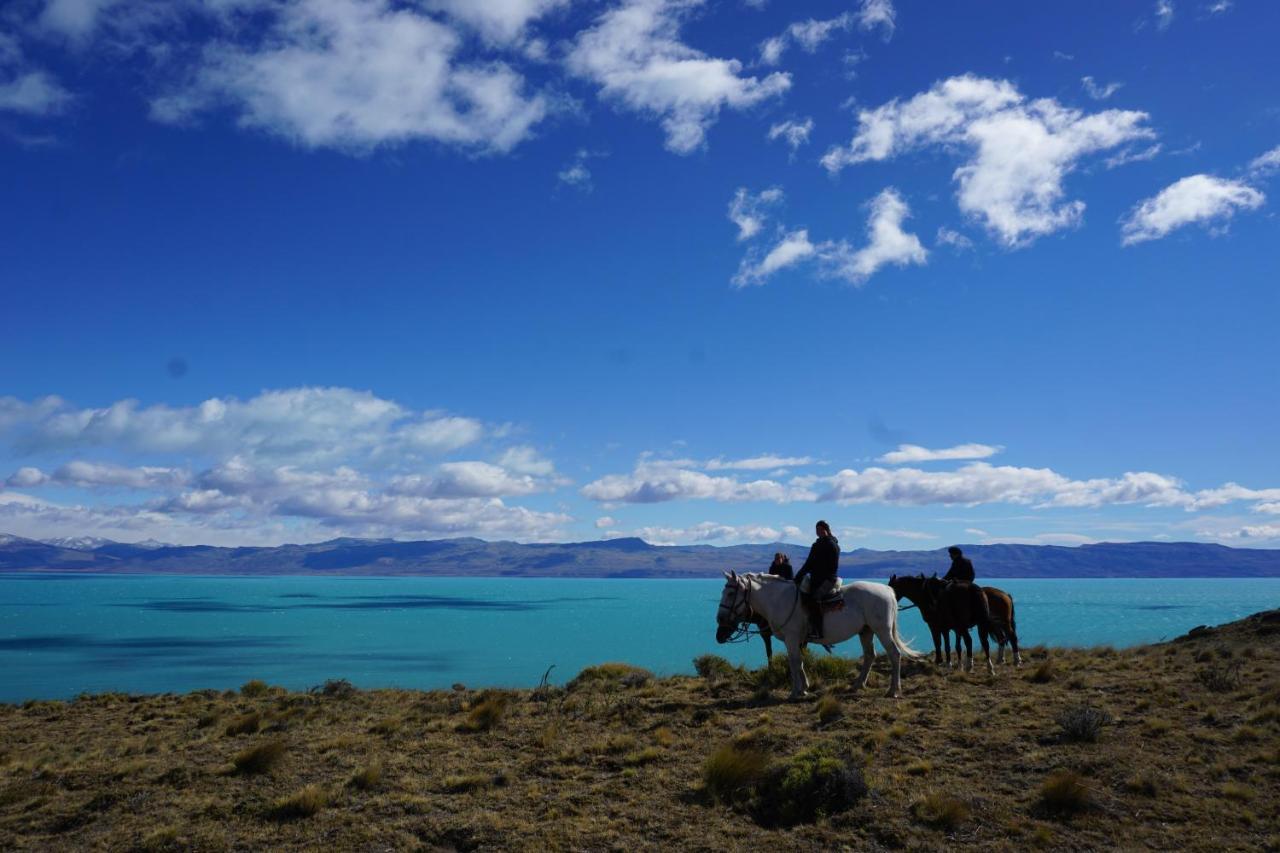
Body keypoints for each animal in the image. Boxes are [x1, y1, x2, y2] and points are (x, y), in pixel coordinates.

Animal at [716, 571, 926, 696]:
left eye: (730, 593)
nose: (720, 620)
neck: (778, 599)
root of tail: (888, 590)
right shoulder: (798, 640)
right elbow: (800, 662)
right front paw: (804, 688)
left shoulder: (792, 638)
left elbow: (793, 662)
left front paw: (795, 692)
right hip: (866, 631)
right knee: (869, 655)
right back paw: (858, 684)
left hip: (882, 630)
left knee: (894, 654)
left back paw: (893, 690)